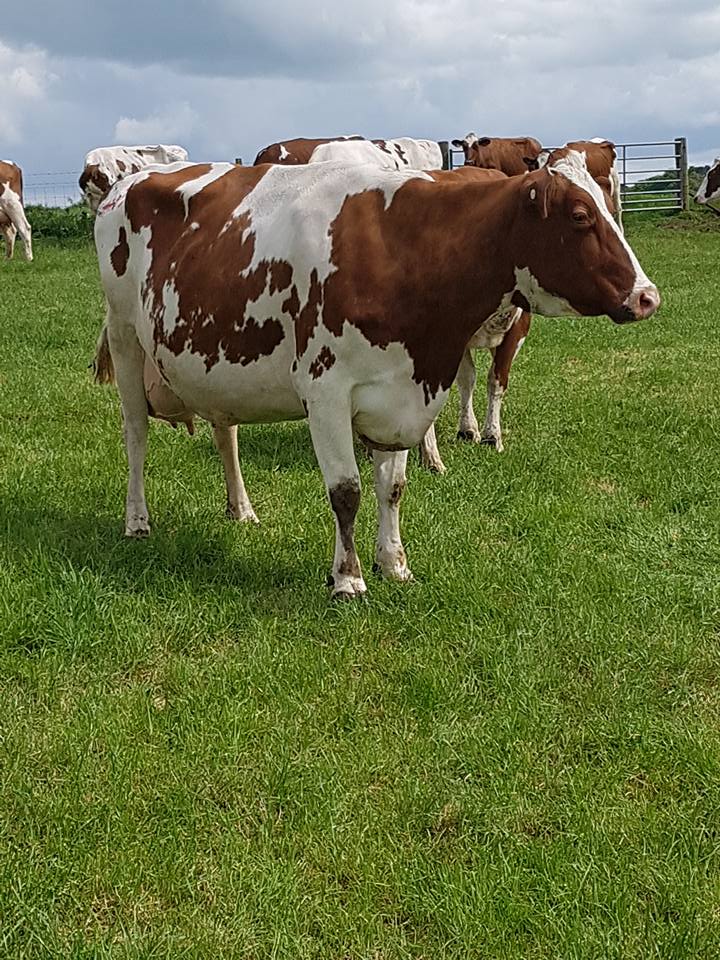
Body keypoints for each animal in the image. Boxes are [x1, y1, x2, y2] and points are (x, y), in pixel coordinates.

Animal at [94, 154, 660, 596]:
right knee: (135, 431)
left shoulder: (401, 389)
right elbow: (346, 491)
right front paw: (348, 578)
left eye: (609, 206)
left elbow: (393, 487)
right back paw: (137, 520)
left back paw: (242, 509)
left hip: (216, 364)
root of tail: (128, 179)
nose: (647, 297)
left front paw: (394, 563)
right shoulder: (325, 390)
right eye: (581, 215)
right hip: (124, 333)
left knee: (224, 430)